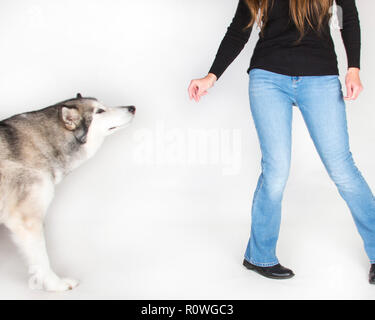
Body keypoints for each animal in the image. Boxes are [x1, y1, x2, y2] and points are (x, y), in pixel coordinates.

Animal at [0, 94, 135, 292]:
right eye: (99, 111)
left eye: (103, 106)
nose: (132, 107)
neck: (42, 144)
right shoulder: (27, 221)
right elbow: (42, 260)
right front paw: (55, 284)